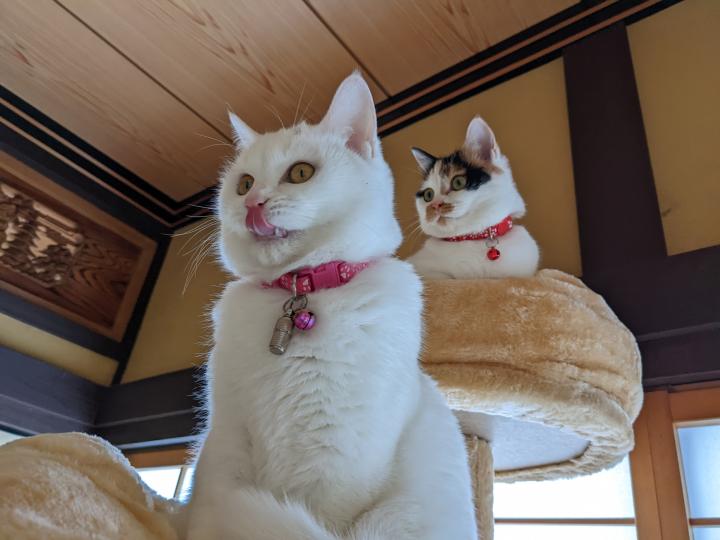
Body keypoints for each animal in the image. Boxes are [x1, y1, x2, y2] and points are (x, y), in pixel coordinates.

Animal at [183, 73, 477, 540]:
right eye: (244, 183)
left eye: (300, 173)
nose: (252, 202)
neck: (301, 288)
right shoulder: (226, 436)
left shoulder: (337, 461)